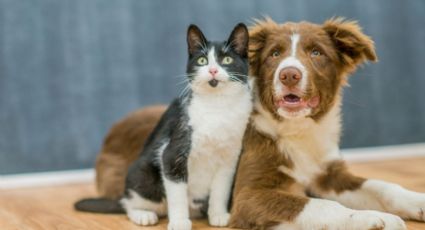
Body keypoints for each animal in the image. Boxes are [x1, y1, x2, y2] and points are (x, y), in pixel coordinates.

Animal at [74, 23, 252, 230]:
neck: (217, 106)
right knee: (129, 203)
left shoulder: (229, 159)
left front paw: (218, 215)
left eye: (227, 60)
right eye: (202, 60)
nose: (213, 70)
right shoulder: (172, 153)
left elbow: (220, 190)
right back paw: (143, 214)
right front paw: (180, 222)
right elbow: (177, 193)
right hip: (143, 175)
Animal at [229, 18, 424, 230]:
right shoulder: (247, 195)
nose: (288, 75)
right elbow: (321, 205)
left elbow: (381, 186)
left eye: (316, 52)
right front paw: (368, 218)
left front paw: (418, 200)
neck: (298, 130)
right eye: (274, 53)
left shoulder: (328, 175)